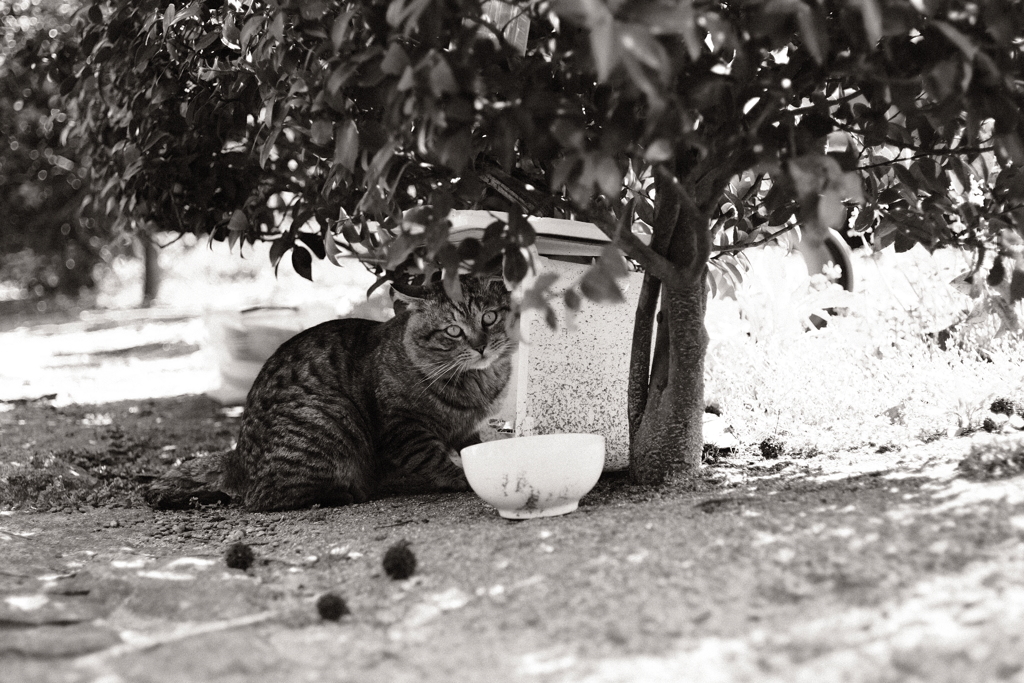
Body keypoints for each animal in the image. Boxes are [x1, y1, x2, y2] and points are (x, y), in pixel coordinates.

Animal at [148, 274, 516, 509]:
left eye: (489, 318)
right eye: (453, 331)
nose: (481, 346)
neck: (477, 382)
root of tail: (236, 456)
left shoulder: (466, 430)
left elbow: (472, 446)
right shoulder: (405, 430)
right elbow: (436, 459)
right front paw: (463, 477)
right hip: (328, 417)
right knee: (264, 500)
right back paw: (344, 493)